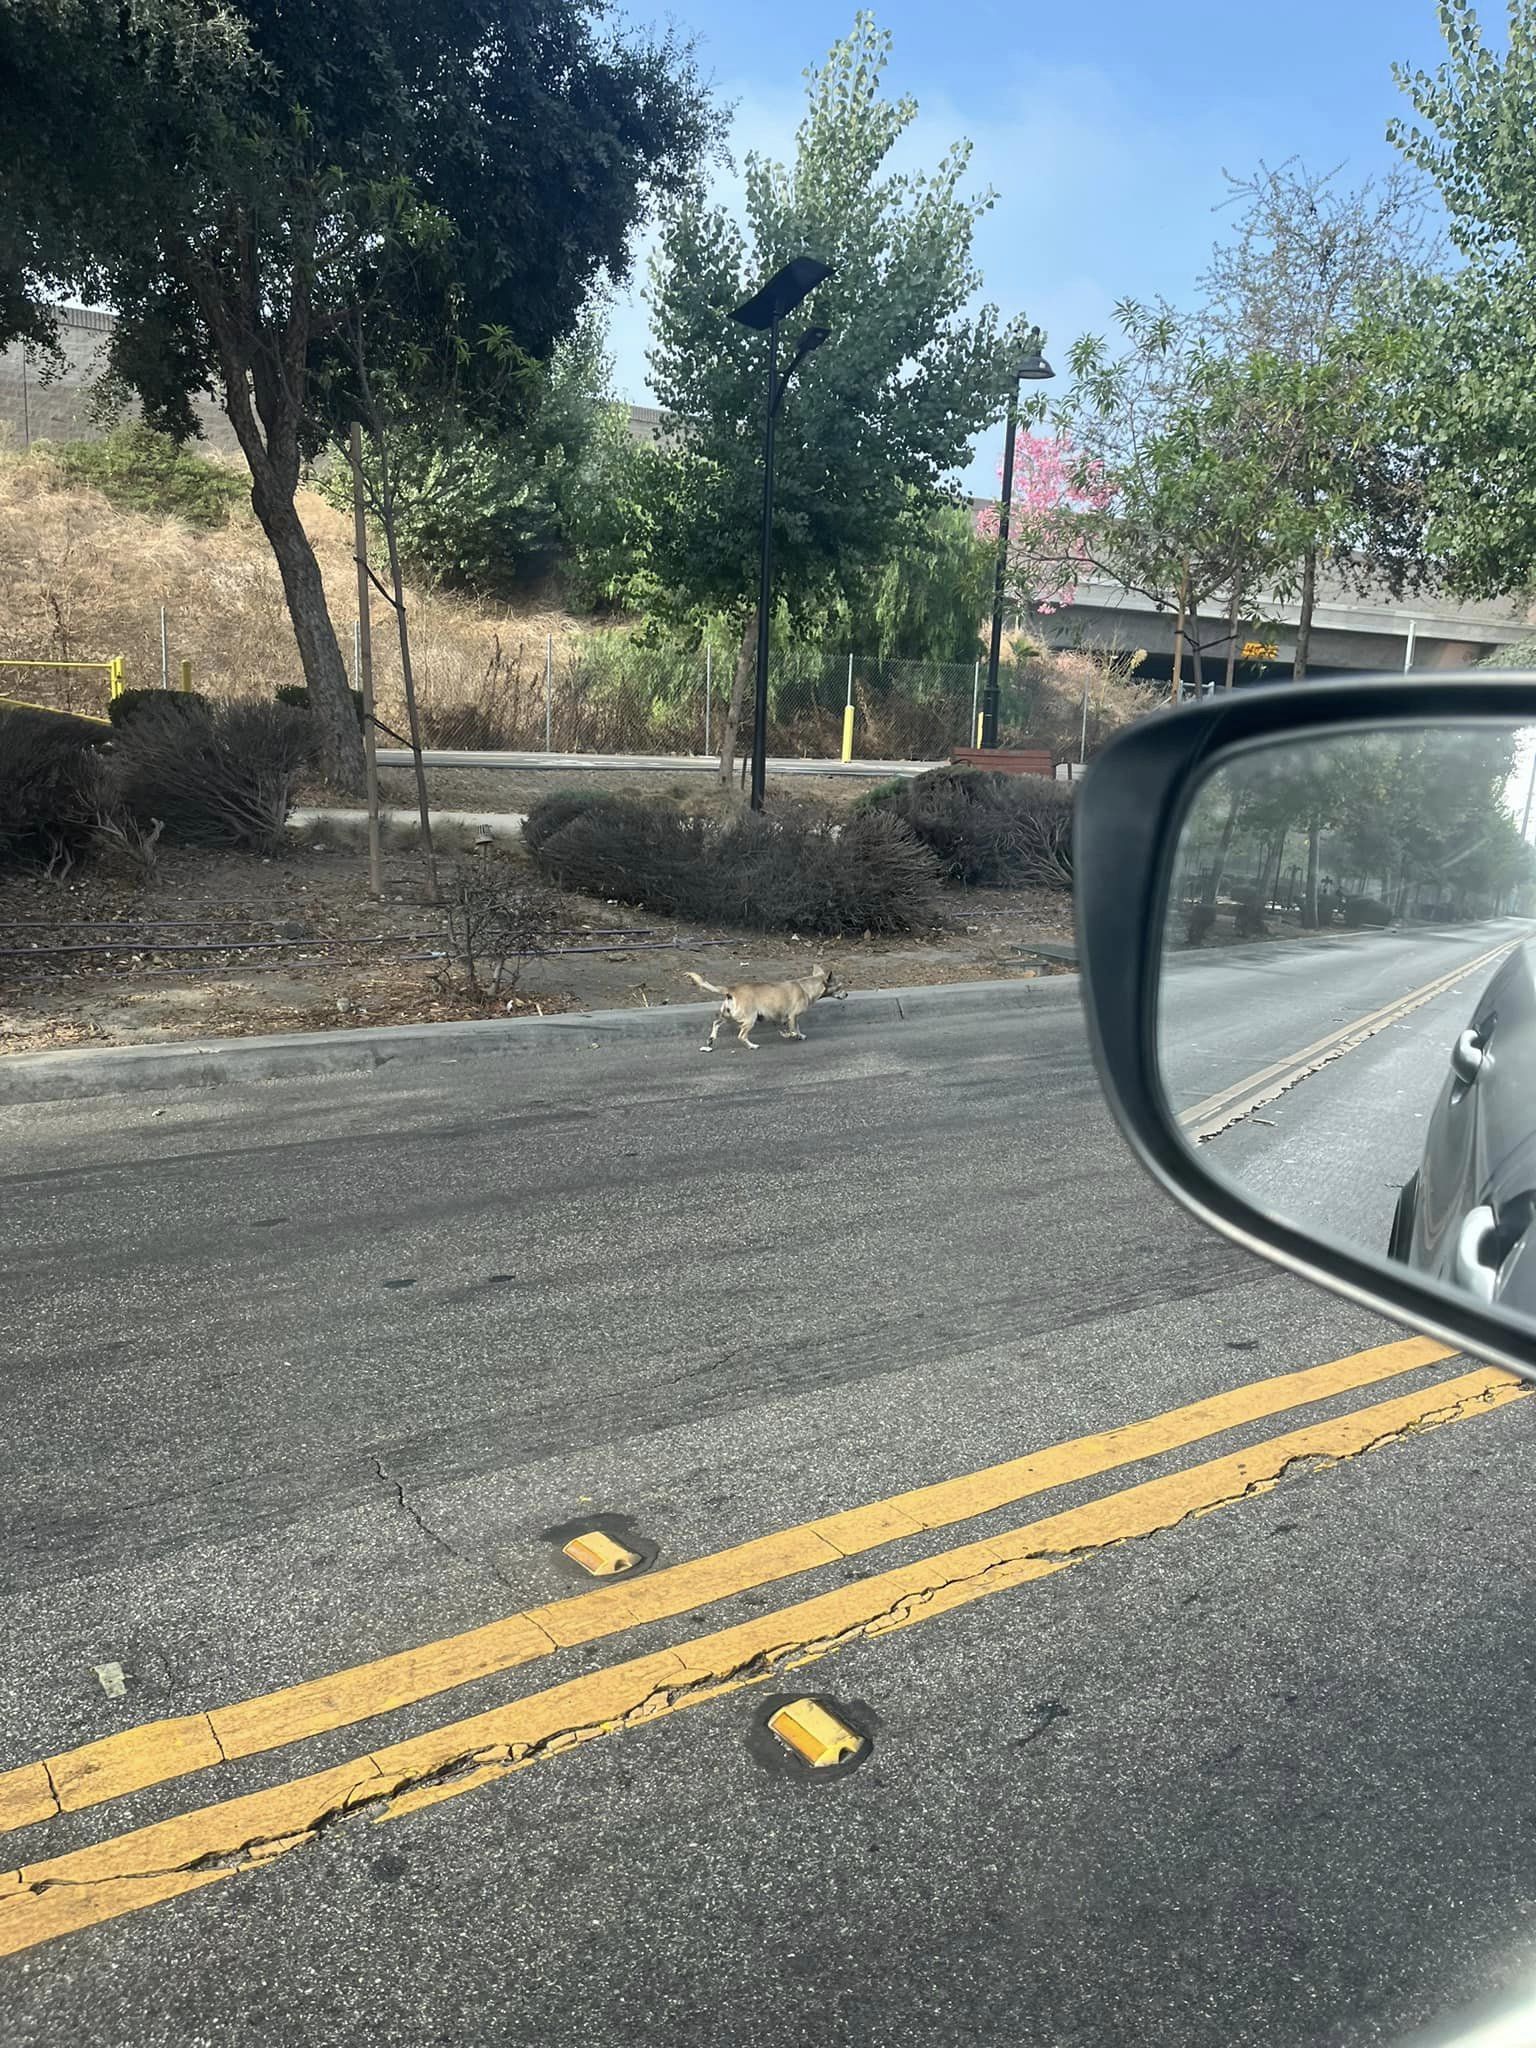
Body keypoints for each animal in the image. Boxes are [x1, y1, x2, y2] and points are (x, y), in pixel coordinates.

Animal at [692, 962, 835, 1048]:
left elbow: (797, 1028)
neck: (806, 987)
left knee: (716, 1023)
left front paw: (799, 1035)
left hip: (728, 1015)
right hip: (750, 1019)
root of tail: (731, 989)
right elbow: (793, 1030)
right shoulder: (792, 1016)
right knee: (741, 1036)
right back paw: (752, 1046)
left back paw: (711, 1039)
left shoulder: (793, 1017)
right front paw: (790, 1035)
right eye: (838, 986)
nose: (842, 995)